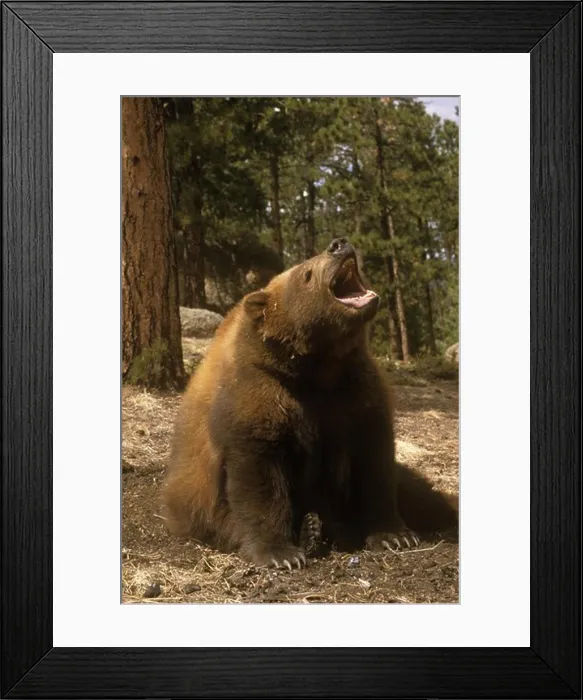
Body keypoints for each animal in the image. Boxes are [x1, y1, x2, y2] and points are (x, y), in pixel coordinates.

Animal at [162, 237, 458, 569]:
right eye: (306, 273)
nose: (339, 244)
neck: (318, 367)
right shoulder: (258, 394)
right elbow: (258, 474)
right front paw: (280, 554)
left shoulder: (356, 391)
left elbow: (374, 464)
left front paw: (393, 535)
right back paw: (311, 530)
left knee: (419, 494)